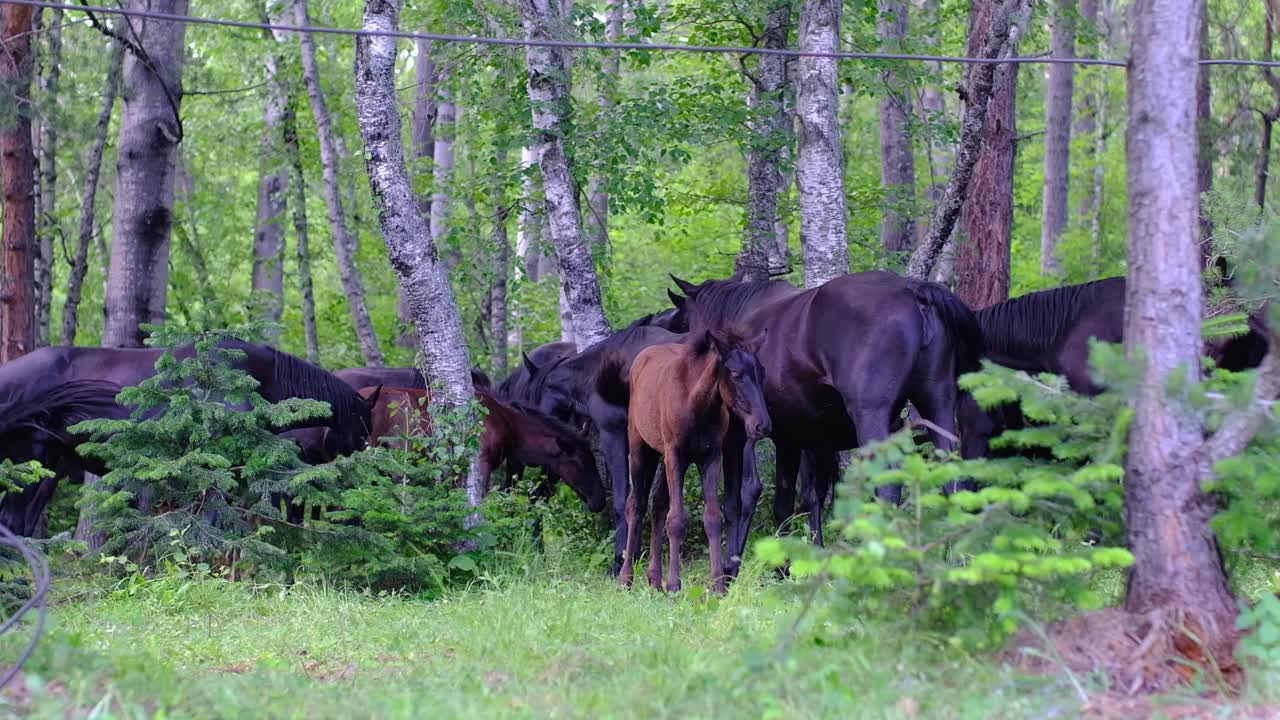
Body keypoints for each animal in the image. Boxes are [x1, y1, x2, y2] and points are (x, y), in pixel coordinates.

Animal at [599, 327, 768, 591]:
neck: (698, 405)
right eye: (735, 374)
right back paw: (626, 578)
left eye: (761, 374)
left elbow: (712, 518)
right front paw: (674, 585)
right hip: (641, 449)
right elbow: (676, 520)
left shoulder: (711, 457)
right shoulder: (675, 455)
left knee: (657, 502)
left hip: (664, 457)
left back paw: (654, 578)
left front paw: (718, 585)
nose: (762, 425)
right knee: (635, 504)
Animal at [665, 270, 983, 571]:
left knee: (888, 487)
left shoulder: (759, 437)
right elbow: (798, 499)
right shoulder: (800, 439)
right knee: (954, 481)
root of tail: (913, 290)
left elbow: (752, 496)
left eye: (683, 320)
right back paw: (956, 560)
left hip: (872, 418)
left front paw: (746, 566)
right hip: (938, 405)